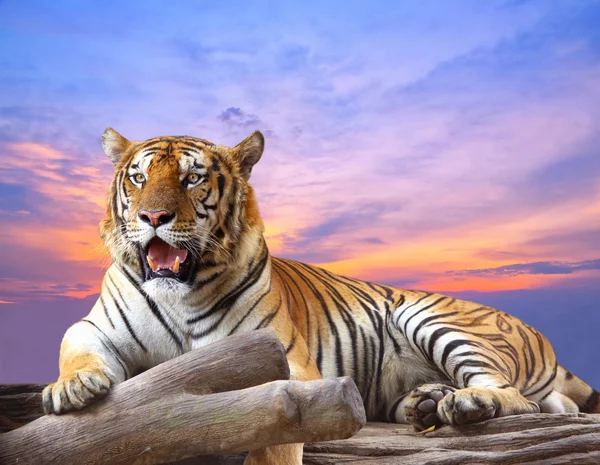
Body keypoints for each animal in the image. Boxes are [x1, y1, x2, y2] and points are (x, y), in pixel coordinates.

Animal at [43, 128, 600, 464]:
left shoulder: (286, 368)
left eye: (192, 177)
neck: (179, 293)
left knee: (519, 399)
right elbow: (77, 347)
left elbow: (273, 430)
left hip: (431, 315)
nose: (152, 217)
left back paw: (464, 403)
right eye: (138, 178)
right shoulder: (96, 326)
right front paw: (71, 389)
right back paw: (426, 404)